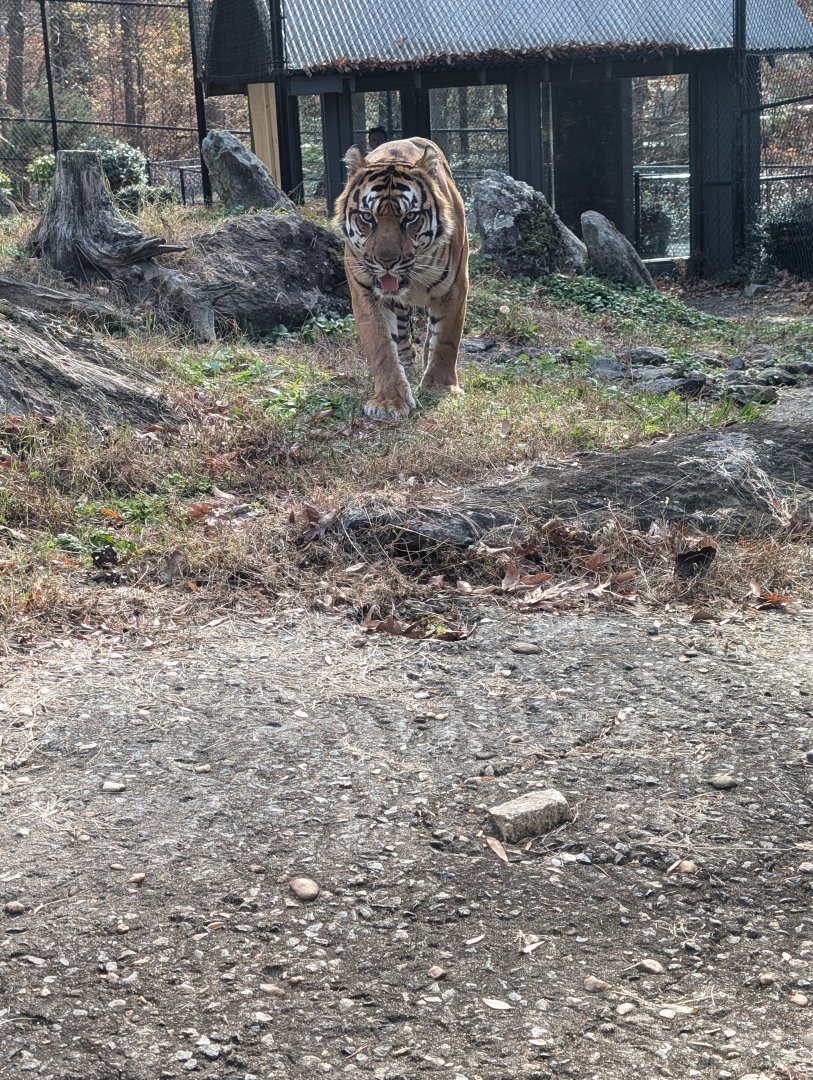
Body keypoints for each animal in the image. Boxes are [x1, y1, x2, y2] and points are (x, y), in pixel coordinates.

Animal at [334, 137, 469, 420]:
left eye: (410, 217)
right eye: (367, 217)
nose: (386, 262)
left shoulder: (455, 286)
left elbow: (447, 338)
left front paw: (441, 387)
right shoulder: (366, 292)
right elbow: (382, 346)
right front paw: (389, 401)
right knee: (404, 337)